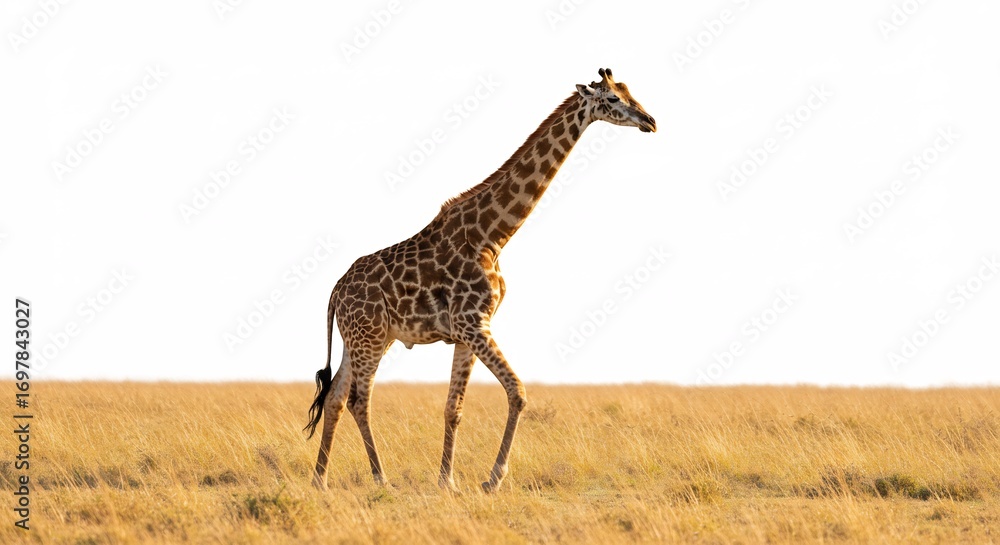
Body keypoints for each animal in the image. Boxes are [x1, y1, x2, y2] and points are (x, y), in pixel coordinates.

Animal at [305, 68, 656, 493]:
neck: (495, 235)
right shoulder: (474, 324)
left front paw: (448, 482)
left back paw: (320, 480)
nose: (650, 121)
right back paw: (380, 478)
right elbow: (517, 392)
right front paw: (492, 480)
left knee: (335, 396)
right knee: (359, 399)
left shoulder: (467, 331)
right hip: (368, 337)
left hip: (367, 337)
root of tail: (334, 292)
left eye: (629, 91)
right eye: (613, 99)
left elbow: (454, 408)